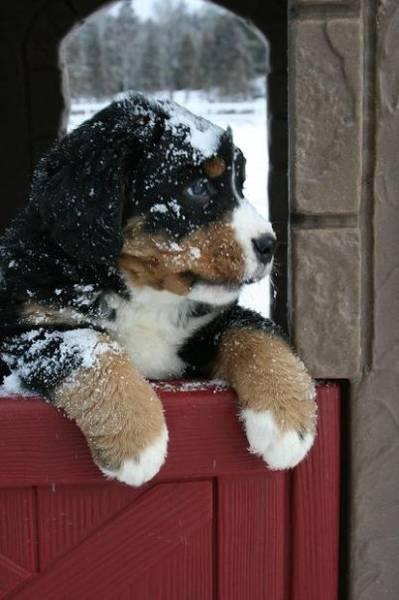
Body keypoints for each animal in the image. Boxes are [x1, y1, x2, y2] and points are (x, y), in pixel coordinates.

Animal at [0, 95, 318, 488]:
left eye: (240, 186)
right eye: (198, 188)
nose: (269, 245)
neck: (146, 294)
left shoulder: (212, 321)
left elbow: (254, 332)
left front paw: (288, 422)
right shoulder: (27, 327)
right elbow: (91, 346)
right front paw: (138, 440)